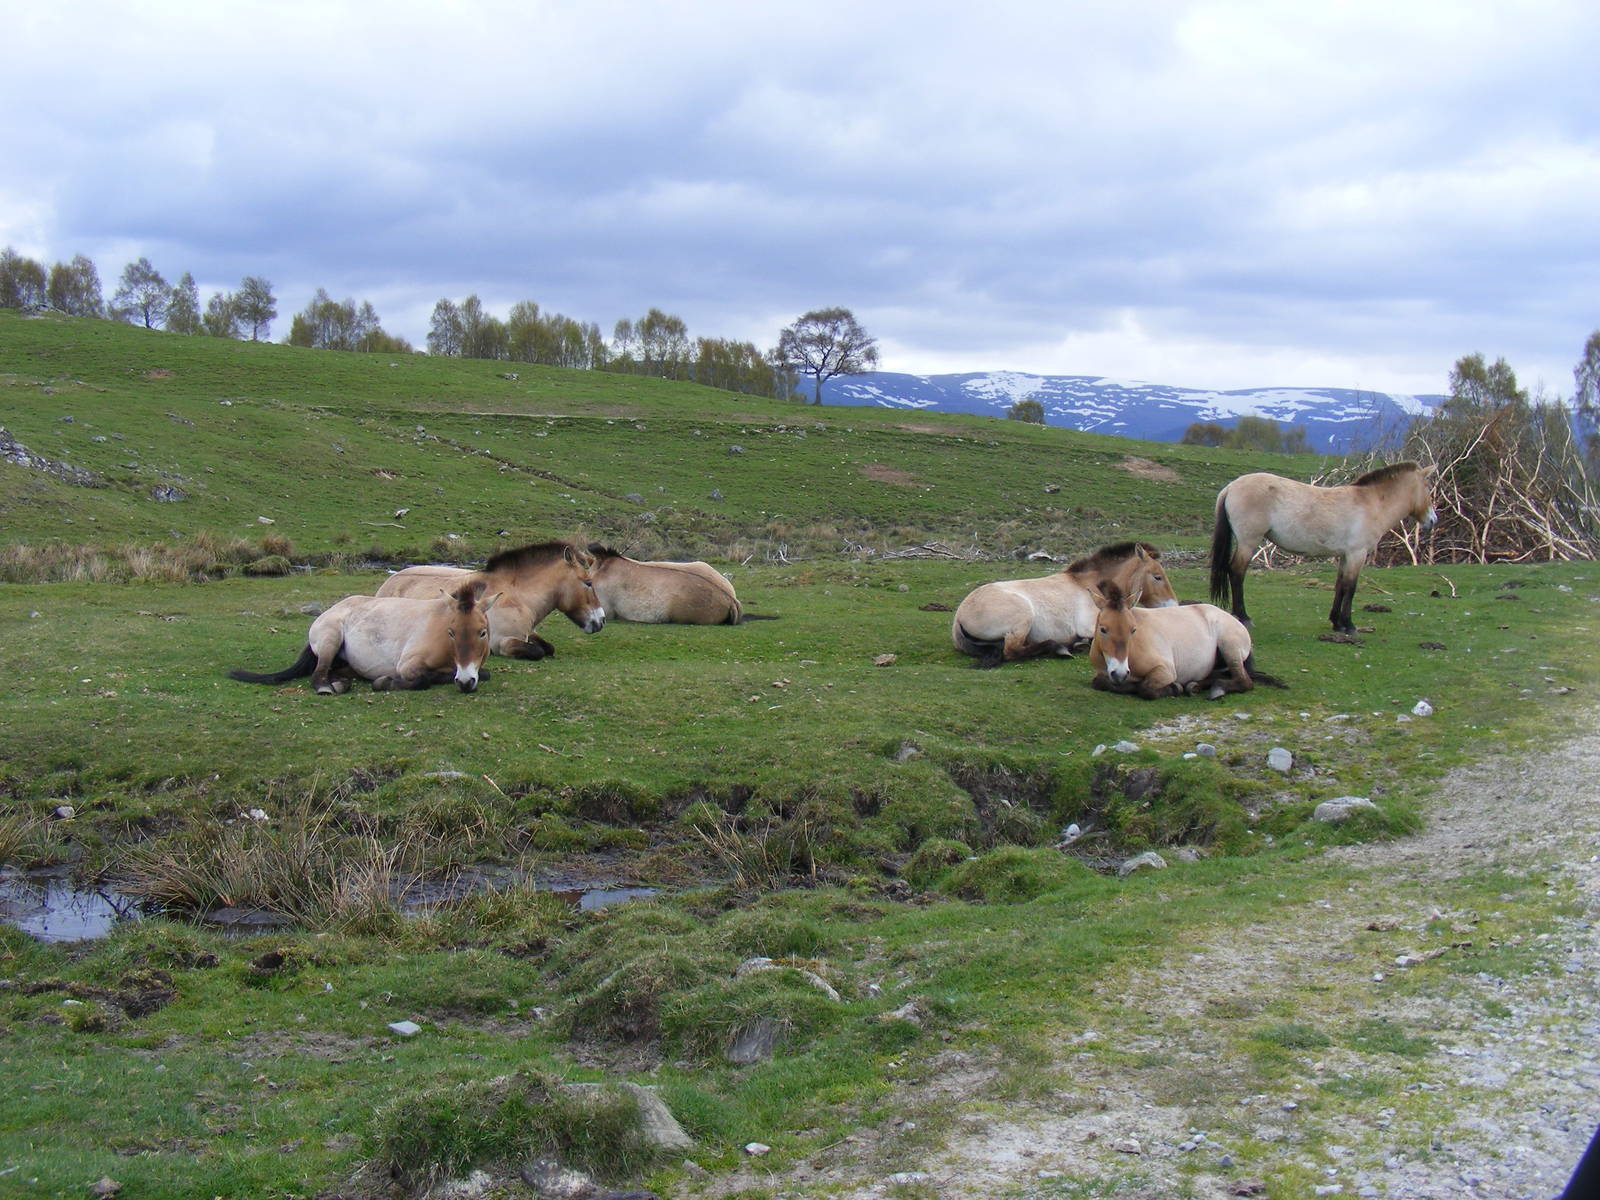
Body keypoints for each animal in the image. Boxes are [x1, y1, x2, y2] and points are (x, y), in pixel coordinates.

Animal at [229, 580, 501, 694]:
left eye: (482, 632)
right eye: (451, 632)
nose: (465, 682)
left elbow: (484, 674)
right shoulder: (408, 666)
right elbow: (421, 679)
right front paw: (384, 682)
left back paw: (340, 683)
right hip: (329, 638)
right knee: (318, 674)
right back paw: (327, 688)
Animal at [375, 540, 605, 659]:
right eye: (588, 583)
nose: (601, 620)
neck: (517, 597)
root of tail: (389, 581)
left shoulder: (528, 633)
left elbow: (548, 647)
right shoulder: (503, 642)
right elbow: (538, 651)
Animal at [951, 541, 1179, 668]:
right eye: (1157, 577)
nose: (1173, 606)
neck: (1088, 584)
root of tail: (959, 616)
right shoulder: (1092, 625)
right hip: (1022, 619)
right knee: (1012, 651)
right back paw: (1061, 648)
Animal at [1088, 579, 1285, 700]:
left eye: (1133, 630)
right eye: (1103, 629)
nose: (1120, 673)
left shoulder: (1166, 671)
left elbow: (1146, 689)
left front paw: (1173, 688)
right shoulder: (1104, 674)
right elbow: (1099, 682)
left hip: (1230, 647)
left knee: (1244, 681)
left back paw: (1216, 690)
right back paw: (1195, 686)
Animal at [1209, 462, 1437, 634]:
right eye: (1428, 487)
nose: (1433, 520)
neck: (1371, 503)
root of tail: (1231, 487)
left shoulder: (1345, 556)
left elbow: (1340, 586)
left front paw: (1336, 623)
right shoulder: (1357, 554)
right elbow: (1351, 588)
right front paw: (1349, 625)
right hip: (1248, 542)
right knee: (1237, 572)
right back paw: (1243, 617)